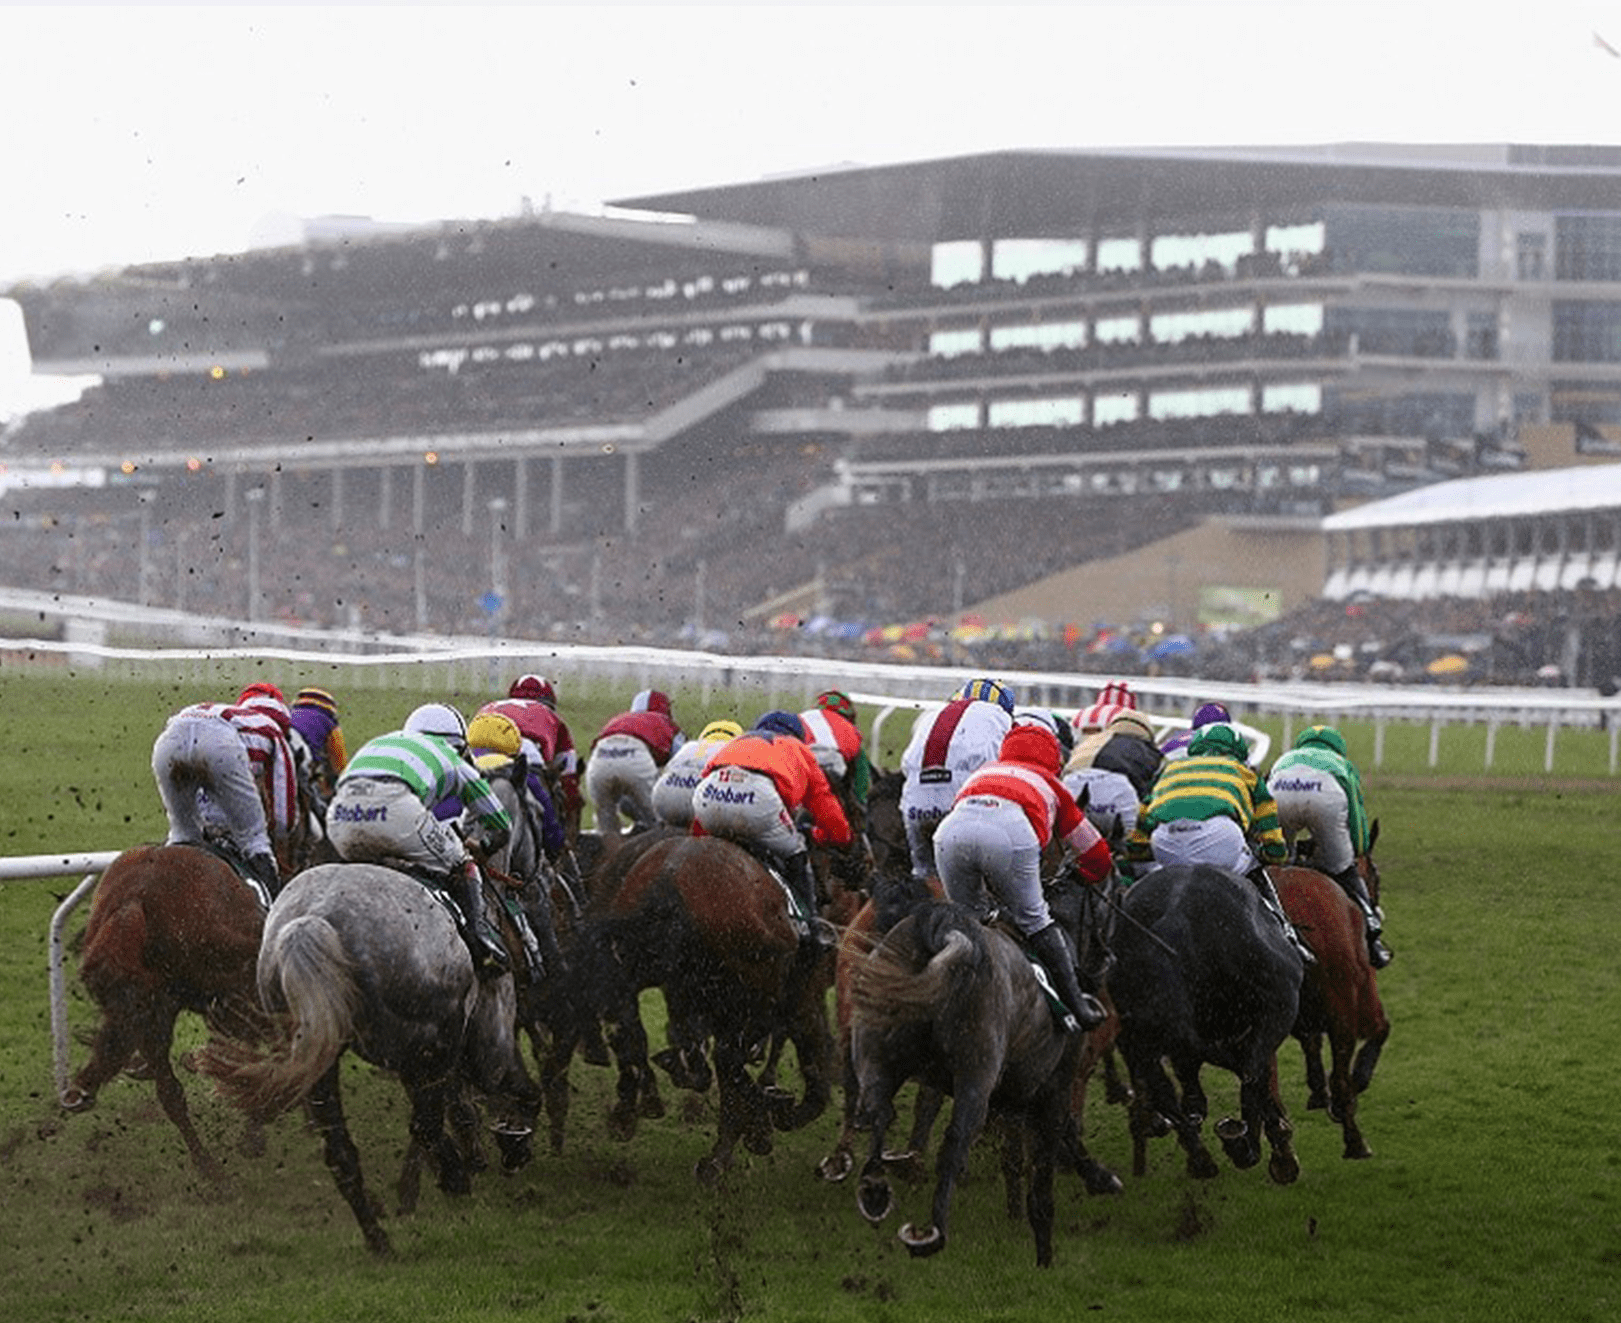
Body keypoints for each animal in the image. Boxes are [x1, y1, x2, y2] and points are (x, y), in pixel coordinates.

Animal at [199, 862, 541, 1258]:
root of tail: (312, 922)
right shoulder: (485, 1046)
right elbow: (518, 1094)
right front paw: (510, 1145)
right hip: (435, 1042)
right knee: (425, 1124)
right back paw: (447, 1179)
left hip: (321, 1059)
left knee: (341, 1152)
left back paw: (378, 1236)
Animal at [544, 830, 836, 1180]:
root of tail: (670, 881)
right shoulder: (794, 999)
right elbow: (808, 1070)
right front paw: (769, 1119)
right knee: (724, 1058)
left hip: (633, 970)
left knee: (629, 1033)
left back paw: (626, 1111)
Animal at [849, 901, 1089, 1271]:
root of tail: (944, 929)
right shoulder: (1051, 1093)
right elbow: (1044, 1179)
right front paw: (1044, 1254)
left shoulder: (1012, 1101)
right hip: (976, 1076)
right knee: (956, 1139)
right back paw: (931, 1234)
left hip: (875, 1054)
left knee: (879, 1112)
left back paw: (875, 1191)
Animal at [1115, 862, 1303, 1180]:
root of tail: (1176, 918)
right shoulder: (1270, 1014)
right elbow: (1257, 1074)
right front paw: (1278, 1148)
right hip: (1278, 1006)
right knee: (1251, 1074)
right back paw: (1250, 1147)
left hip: (1139, 1032)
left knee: (1163, 1086)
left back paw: (1201, 1156)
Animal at [1270, 856, 1387, 1154]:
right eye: (1376, 876)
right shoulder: (1364, 993)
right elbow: (1381, 1030)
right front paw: (1357, 1082)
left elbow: (1311, 1043)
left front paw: (1317, 1092)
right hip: (1342, 1003)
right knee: (1340, 1077)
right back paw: (1354, 1139)